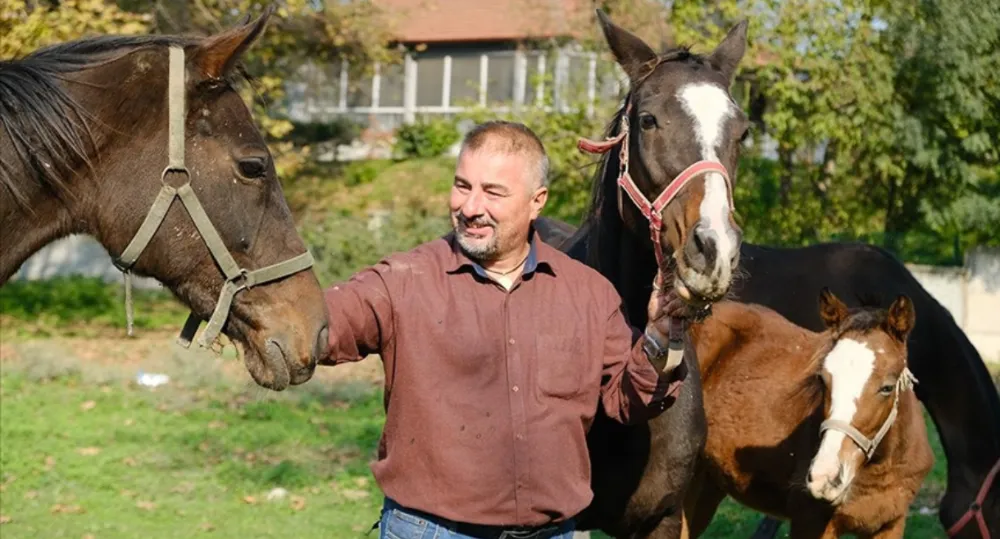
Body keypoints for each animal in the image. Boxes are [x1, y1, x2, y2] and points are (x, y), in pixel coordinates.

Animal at [684, 292, 932, 539]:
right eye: (822, 379)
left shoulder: (891, 523)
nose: (825, 478)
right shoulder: (810, 521)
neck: (879, 468)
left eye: (887, 387)